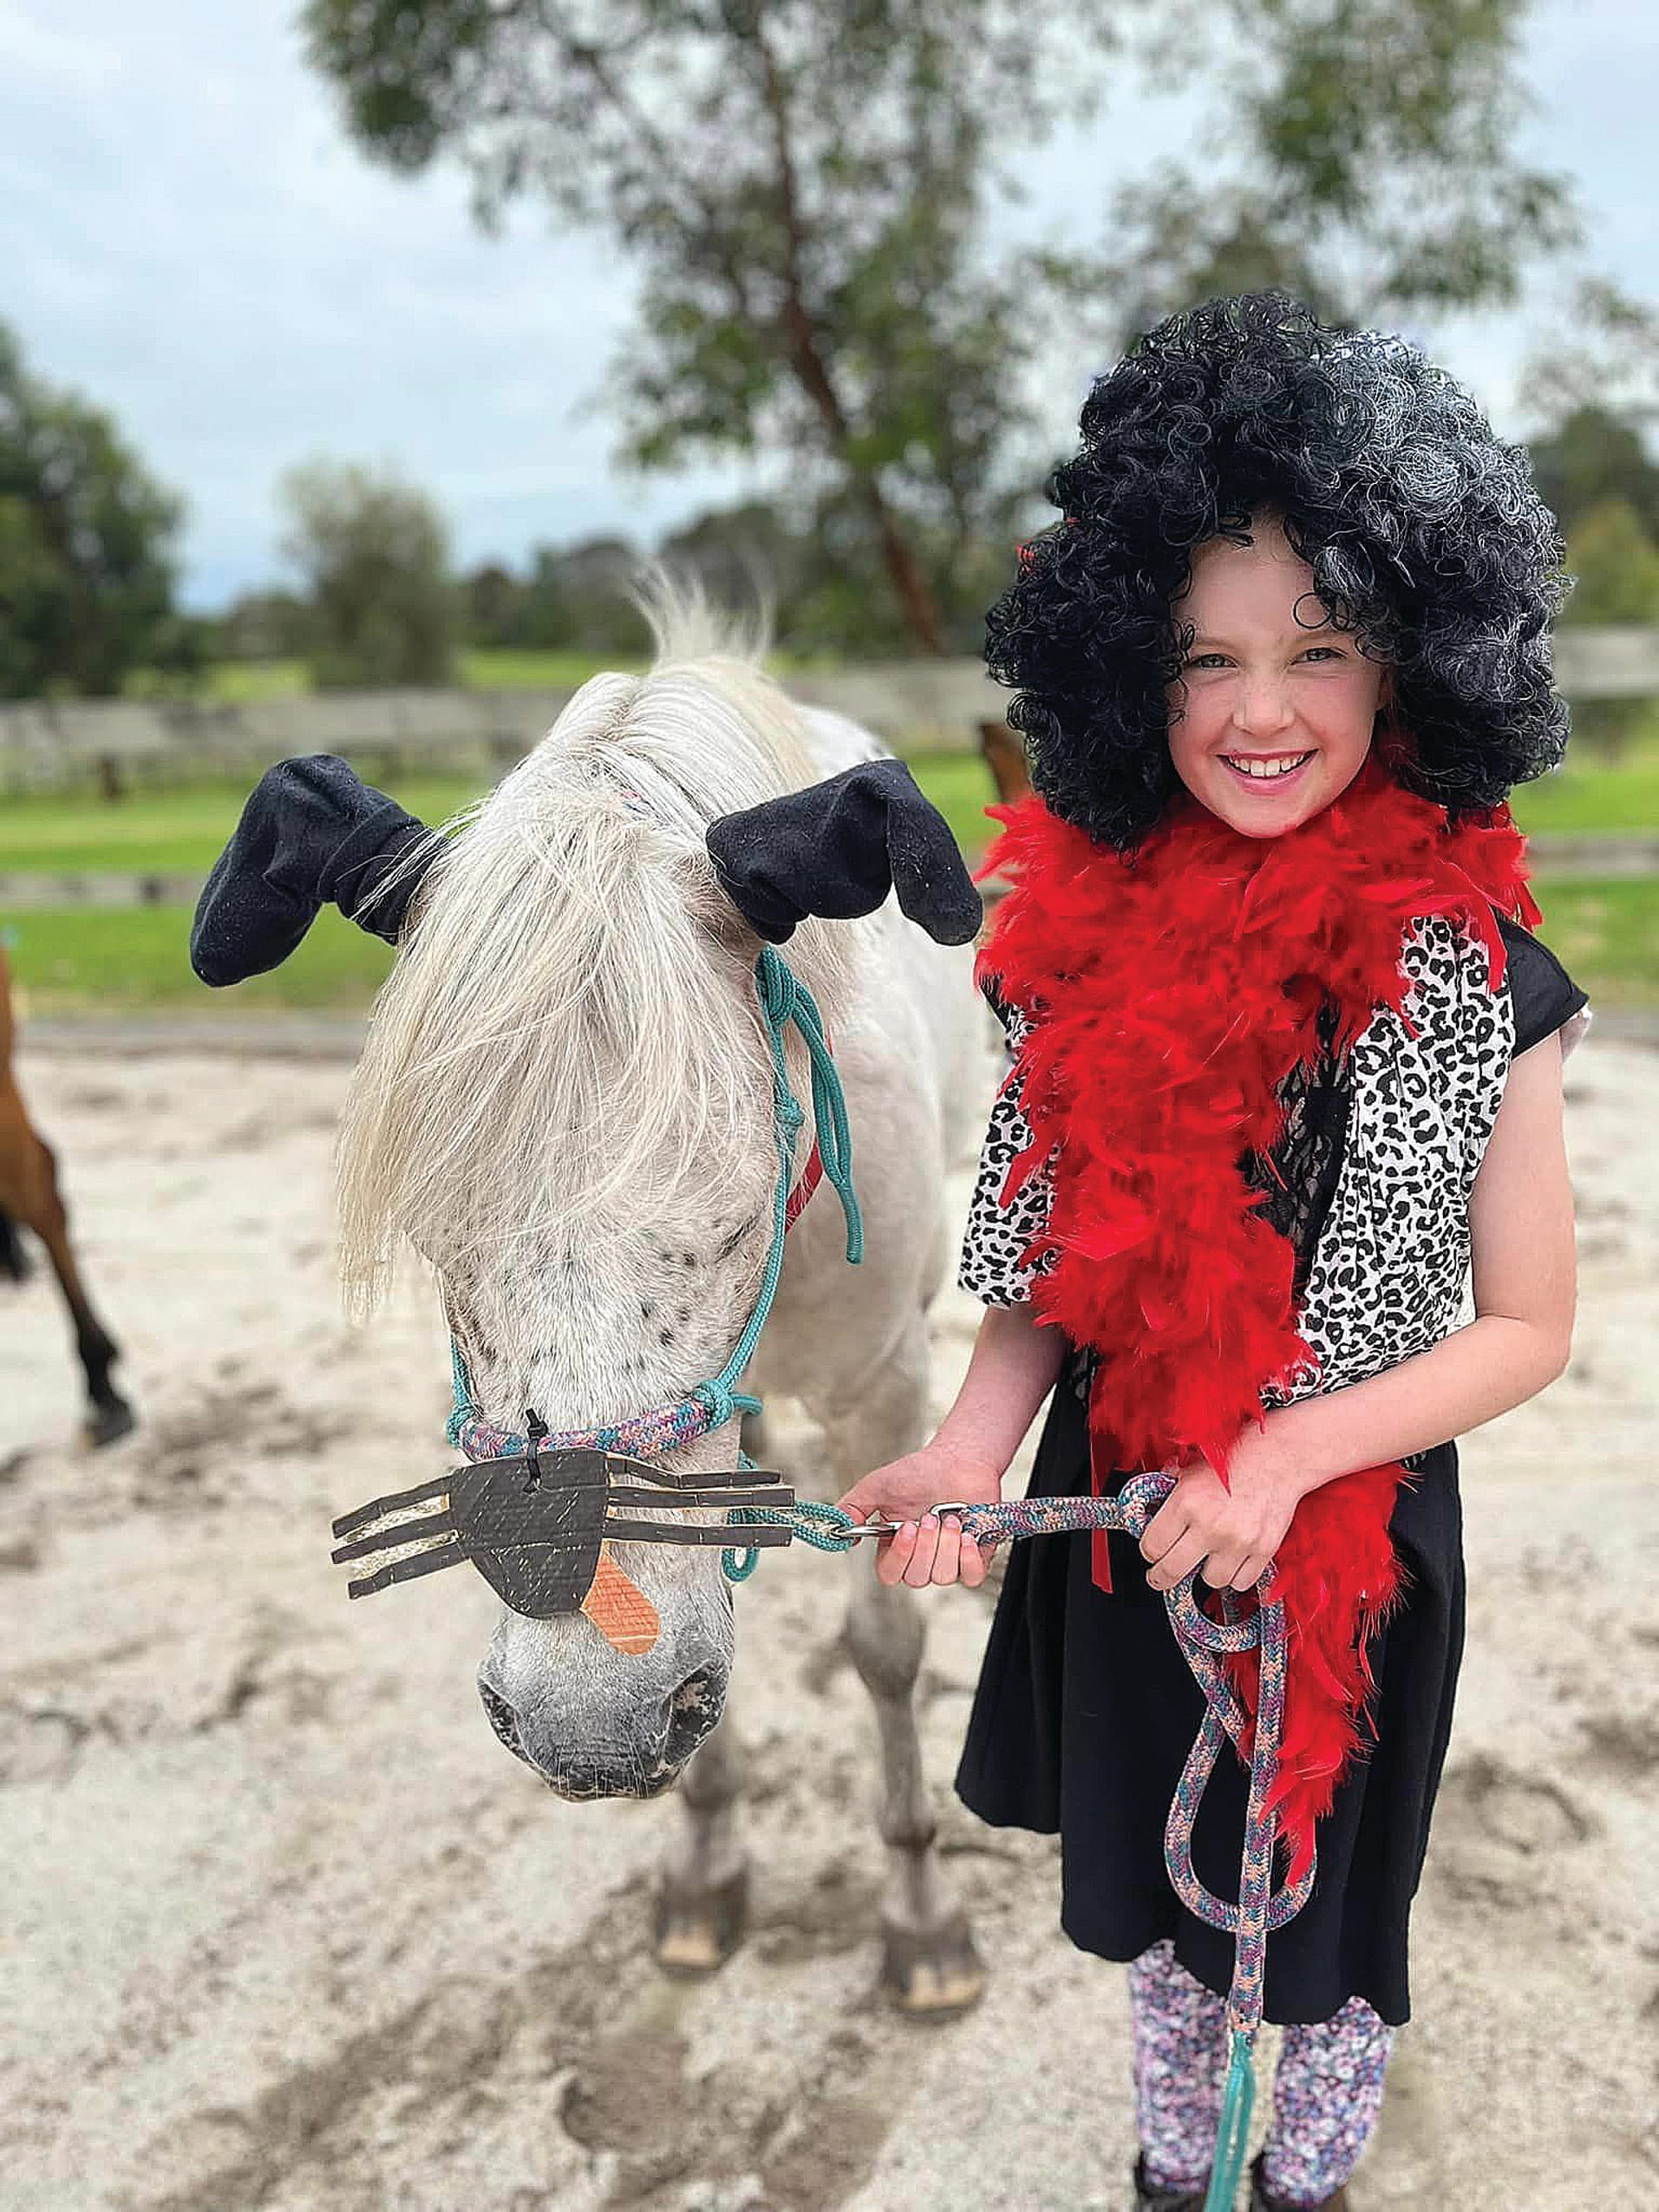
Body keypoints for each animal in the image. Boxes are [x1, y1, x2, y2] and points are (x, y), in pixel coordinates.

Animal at [210, 593, 996, 2011]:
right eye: (433, 1237)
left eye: (741, 1208)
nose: (590, 1724)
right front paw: (702, 1865)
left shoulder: (883, 1391)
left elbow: (886, 1647)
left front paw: (919, 1913)